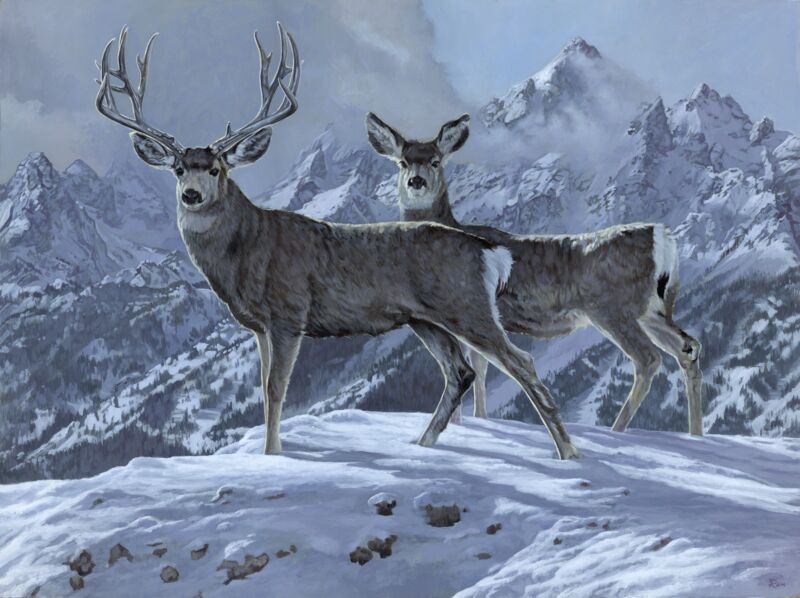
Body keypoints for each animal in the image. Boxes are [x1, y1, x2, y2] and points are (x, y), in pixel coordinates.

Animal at [94, 24, 580, 460]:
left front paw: (272, 456)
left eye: (216, 169)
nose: (191, 195)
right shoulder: (257, 326)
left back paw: (567, 453)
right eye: (178, 169)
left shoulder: (289, 313)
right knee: (459, 372)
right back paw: (421, 445)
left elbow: (276, 389)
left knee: (519, 363)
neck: (247, 252)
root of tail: (488, 251)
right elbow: (263, 391)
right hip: (426, 319)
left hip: (467, 307)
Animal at [366, 112, 704, 436]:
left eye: (436, 161)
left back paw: (616, 430)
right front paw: (479, 418)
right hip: (653, 310)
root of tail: (662, 237)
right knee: (688, 347)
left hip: (612, 309)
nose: (417, 181)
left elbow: (472, 365)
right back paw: (694, 435)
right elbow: (481, 365)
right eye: (402, 162)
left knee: (648, 359)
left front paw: (464, 421)